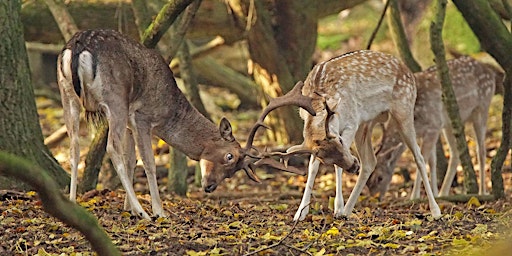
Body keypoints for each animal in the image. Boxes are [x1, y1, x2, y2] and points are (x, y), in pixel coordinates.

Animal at [55, 29, 312, 219]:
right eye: (229, 156)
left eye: (234, 171)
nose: (210, 187)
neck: (170, 109)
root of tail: (76, 48)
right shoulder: (141, 116)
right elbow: (147, 162)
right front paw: (157, 210)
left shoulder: (129, 121)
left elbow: (131, 160)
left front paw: (129, 207)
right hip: (114, 98)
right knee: (110, 147)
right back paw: (144, 213)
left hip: (67, 94)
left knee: (74, 146)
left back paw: (72, 202)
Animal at [274, 50, 442, 220]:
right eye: (324, 159)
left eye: (340, 140)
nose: (354, 165)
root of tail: (408, 71)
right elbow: (312, 168)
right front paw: (300, 213)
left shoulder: (351, 123)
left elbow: (337, 167)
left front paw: (338, 209)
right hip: (367, 123)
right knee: (370, 162)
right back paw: (348, 210)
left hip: (404, 109)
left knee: (419, 157)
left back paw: (436, 211)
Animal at [366, 56, 502, 199]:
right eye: (367, 183)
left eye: (379, 178)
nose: (376, 198)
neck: (416, 119)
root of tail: (490, 72)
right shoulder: (428, 131)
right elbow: (433, 161)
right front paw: (435, 193)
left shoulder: (434, 125)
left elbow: (423, 160)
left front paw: (415, 196)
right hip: (450, 124)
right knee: (455, 153)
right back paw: (443, 192)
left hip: (482, 108)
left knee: (481, 150)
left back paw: (482, 191)